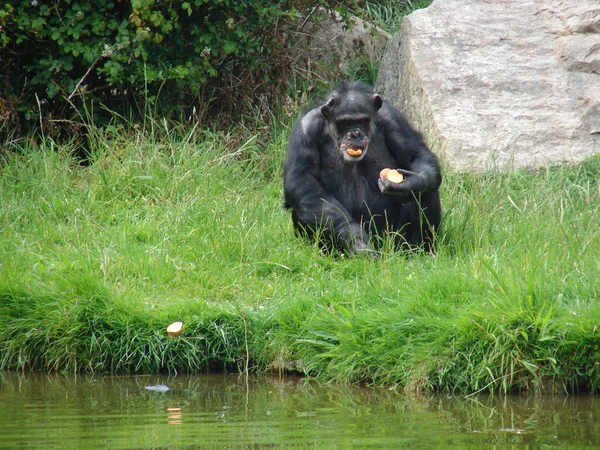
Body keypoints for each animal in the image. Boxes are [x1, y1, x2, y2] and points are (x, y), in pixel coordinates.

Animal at [282, 81, 440, 255]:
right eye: (345, 123)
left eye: (362, 120)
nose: (355, 134)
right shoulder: (306, 129)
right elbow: (302, 179)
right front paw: (354, 237)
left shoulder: (394, 119)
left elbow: (416, 155)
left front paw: (409, 186)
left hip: (393, 240)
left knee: (425, 191)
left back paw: (417, 251)